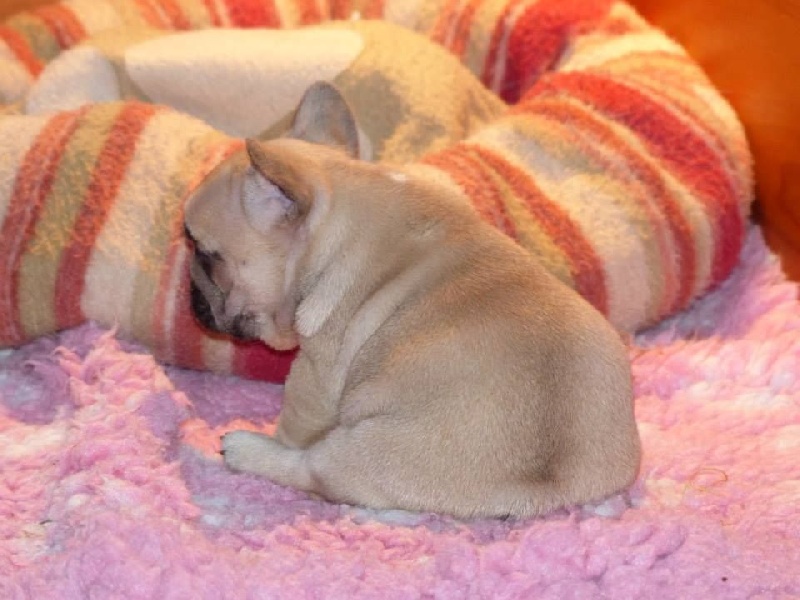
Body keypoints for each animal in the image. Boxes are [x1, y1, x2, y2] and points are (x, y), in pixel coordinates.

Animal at [183, 81, 641, 519]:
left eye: (204, 253)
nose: (189, 292)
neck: (341, 214)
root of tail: (541, 486)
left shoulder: (316, 370)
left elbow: (296, 421)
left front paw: (274, 437)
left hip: (362, 450)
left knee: (312, 469)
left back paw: (245, 448)